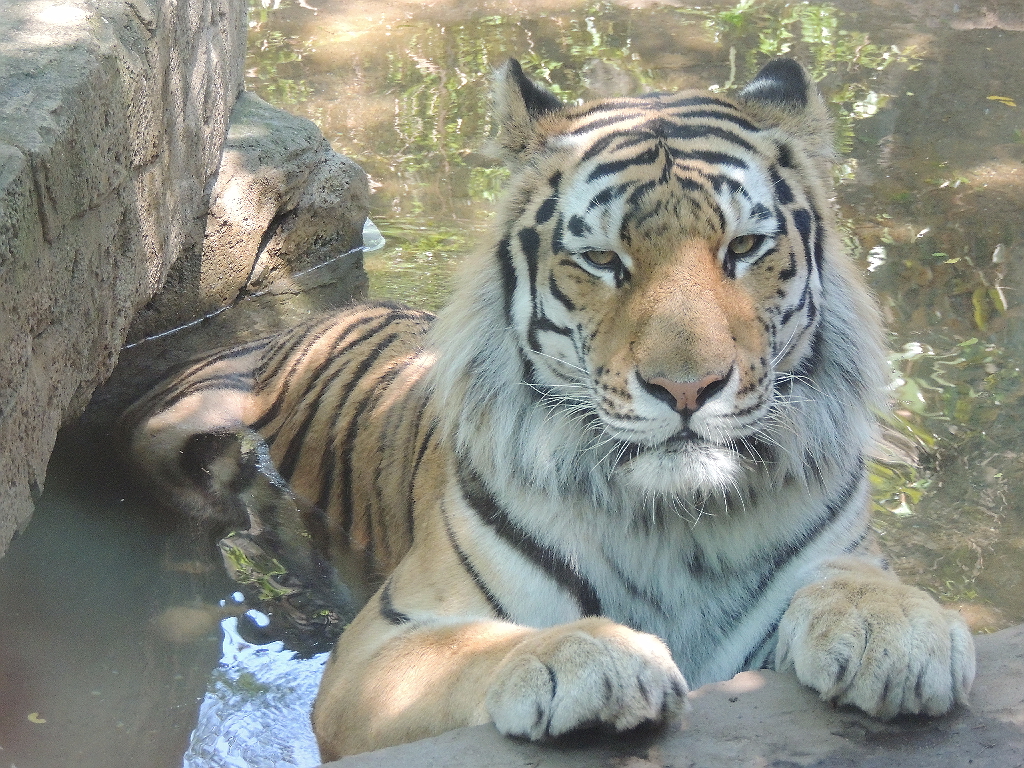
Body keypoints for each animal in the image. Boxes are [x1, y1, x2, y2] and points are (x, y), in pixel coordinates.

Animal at [125, 58, 976, 760]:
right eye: (602, 259)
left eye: (742, 248)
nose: (688, 388)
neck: (682, 523)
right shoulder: (377, 650)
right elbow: (473, 647)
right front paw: (587, 658)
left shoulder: (839, 548)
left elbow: (857, 579)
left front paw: (897, 629)